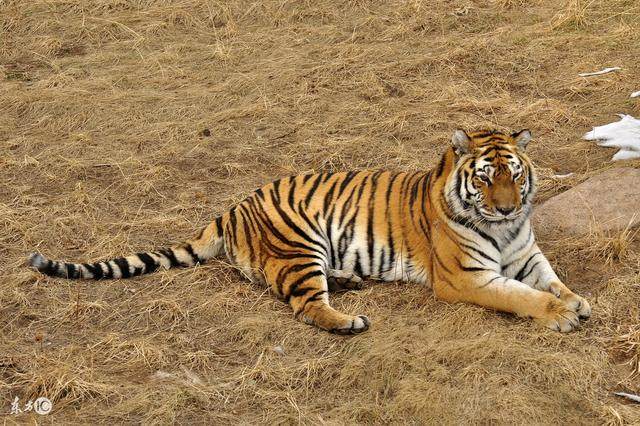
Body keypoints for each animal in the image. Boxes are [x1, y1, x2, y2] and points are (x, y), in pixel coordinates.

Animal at [30, 128, 592, 334]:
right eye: (484, 178)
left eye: (514, 174)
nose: (506, 208)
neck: (505, 231)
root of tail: (233, 208)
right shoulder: (467, 277)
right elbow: (522, 296)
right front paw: (561, 315)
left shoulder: (527, 255)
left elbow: (552, 280)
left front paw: (577, 300)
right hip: (300, 245)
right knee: (304, 305)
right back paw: (348, 320)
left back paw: (350, 283)